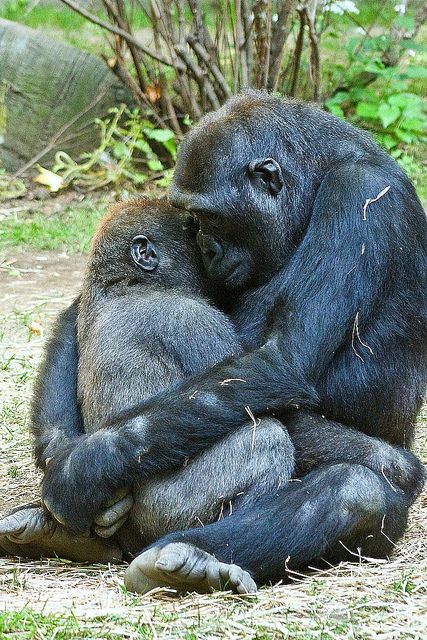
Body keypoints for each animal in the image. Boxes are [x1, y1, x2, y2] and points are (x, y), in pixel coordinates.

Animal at [0, 201, 294, 596]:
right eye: (192, 232)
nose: (210, 251)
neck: (124, 284)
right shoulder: (189, 318)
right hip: (164, 512)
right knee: (267, 439)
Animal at [38, 91, 426, 592]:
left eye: (207, 217)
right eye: (193, 220)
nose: (206, 250)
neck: (318, 175)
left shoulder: (362, 193)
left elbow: (279, 360)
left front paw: (79, 470)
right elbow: (79, 309)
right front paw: (60, 451)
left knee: (359, 489)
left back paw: (190, 556)